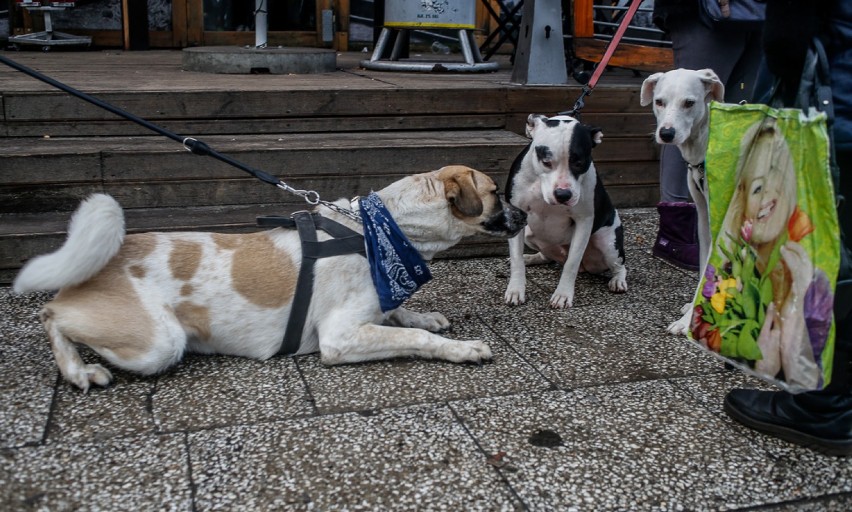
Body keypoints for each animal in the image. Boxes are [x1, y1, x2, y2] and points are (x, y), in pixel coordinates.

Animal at [15, 166, 524, 390]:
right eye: (495, 193)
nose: (523, 214)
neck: (377, 231)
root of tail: (106, 258)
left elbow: (399, 313)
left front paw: (422, 315)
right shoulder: (339, 336)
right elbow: (416, 339)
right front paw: (462, 349)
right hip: (157, 343)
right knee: (51, 314)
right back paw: (77, 368)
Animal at [502, 115, 628, 308]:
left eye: (579, 162)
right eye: (546, 162)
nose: (563, 194)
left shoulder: (584, 221)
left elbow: (572, 263)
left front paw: (563, 294)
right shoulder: (517, 213)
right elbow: (516, 260)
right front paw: (516, 290)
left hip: (608, 244)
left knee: (620, 265)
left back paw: (618, 281)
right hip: (529, 233)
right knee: (545, 255)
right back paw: (530, 258)